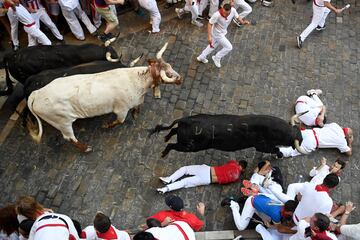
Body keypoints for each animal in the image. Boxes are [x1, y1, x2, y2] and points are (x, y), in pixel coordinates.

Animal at [27, 43, 183, 152]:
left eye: (170, 66)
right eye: (168, 74)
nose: (180, 79)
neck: (137, 80)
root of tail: (37, 93)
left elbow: (138, 106)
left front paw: (136, 113)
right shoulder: (121, 109)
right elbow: (119, 121)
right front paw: (106, 125)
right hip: (62, 123)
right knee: (70, 138)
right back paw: (86, 148)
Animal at [149, 114, 304, 158]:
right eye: (295, 138)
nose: (301, 139)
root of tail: (185, 120)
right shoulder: (262, 146)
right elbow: (275, 149)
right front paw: (280, 154)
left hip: (183, 137)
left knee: (173, 131)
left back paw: (165, 137)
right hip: (189, 146)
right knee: (172, 145)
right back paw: (163, 153)